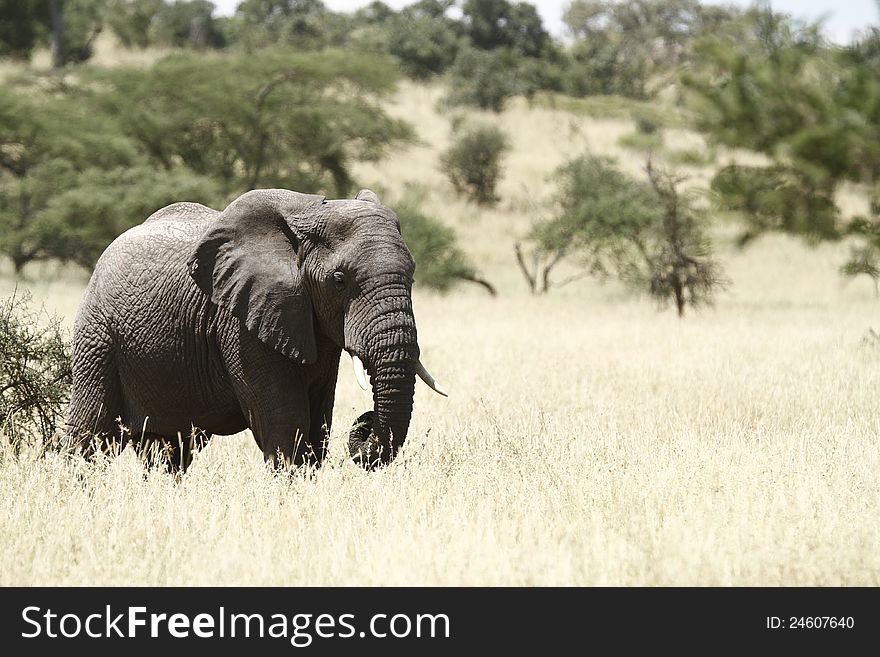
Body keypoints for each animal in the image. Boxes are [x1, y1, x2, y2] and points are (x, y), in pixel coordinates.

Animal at [64, 187, 446, 468]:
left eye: (412, 276)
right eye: (339, 280)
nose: (364, 422)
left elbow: (317, 422)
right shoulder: (241, 323)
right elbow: (286, 422)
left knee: (168, 449)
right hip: (97, 335)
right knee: (89, 434)